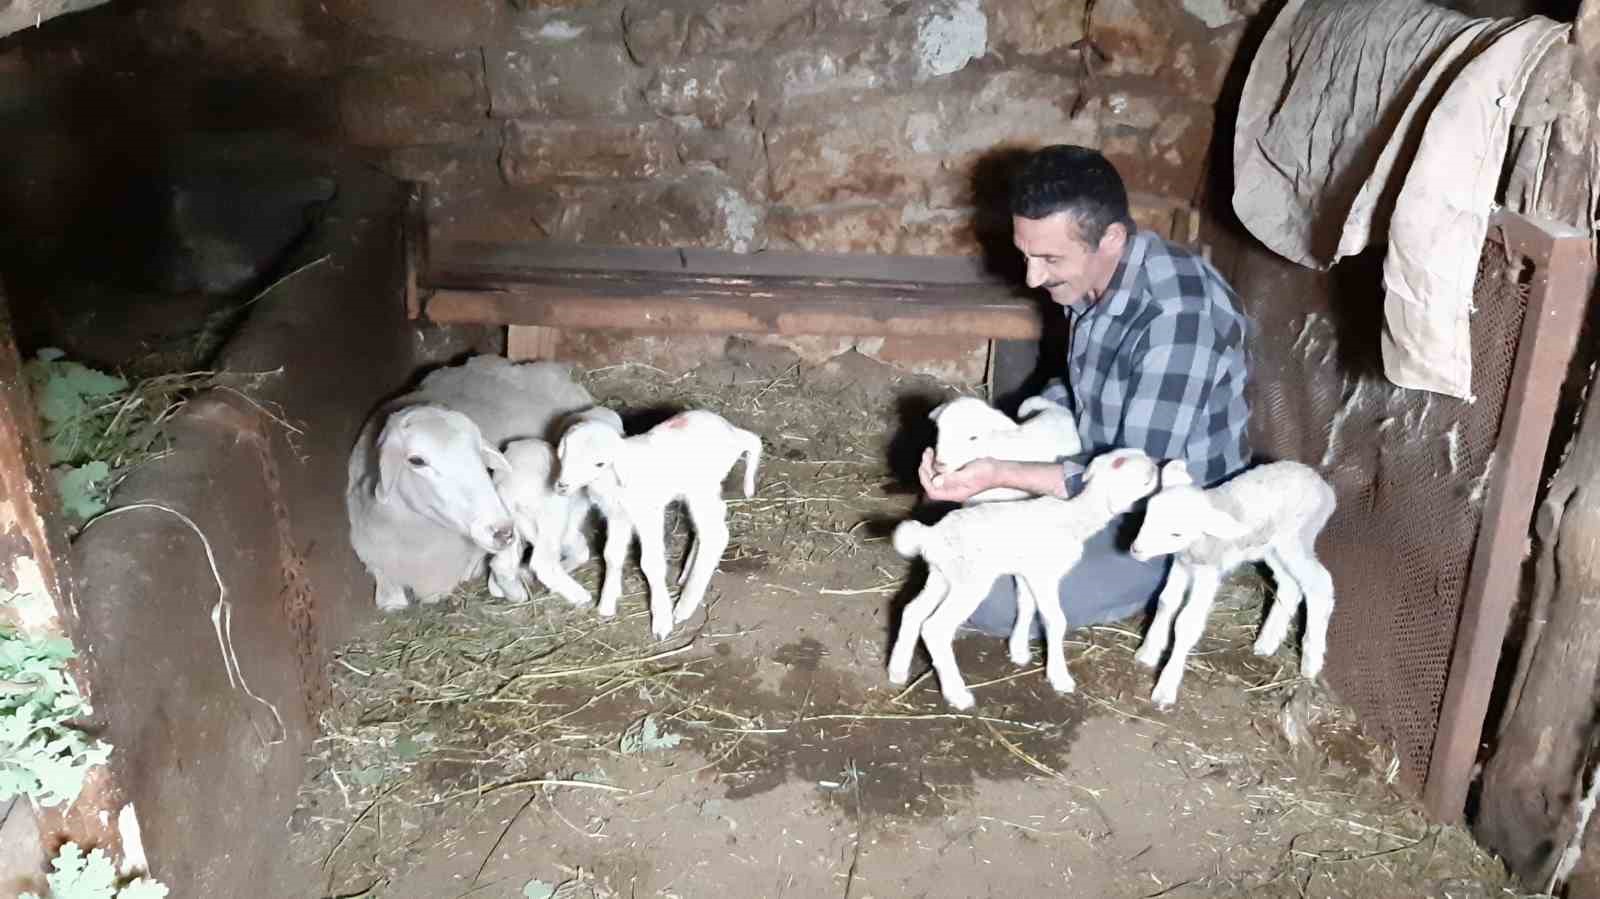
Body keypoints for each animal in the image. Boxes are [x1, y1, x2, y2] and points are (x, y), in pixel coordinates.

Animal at [556, 406, 761, 636]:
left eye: (599, 463)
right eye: (565, 453)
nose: (561, 486)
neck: (613, 479)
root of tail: (732, 432)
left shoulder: (648, 514)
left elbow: (651, 563)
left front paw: (662, 620)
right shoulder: (617, 515)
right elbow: (611, 555)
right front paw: (606, 604)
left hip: (701, 488)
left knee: (717, 535)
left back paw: (684, 606)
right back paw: (686, 575)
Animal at [889, 444, 1164, 707]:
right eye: (1148, 478)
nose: (1163, 468)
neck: (1076, 517)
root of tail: (929, 535)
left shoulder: (1027, 572)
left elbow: (1026, 605)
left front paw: (1018, 650)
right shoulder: (1045, 575)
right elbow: (1055, 619)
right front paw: (1059, 677)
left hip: (942, 576)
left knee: (912, 610)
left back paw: (897, 670)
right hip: (970, 583)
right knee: (935, 628)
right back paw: (957, 695)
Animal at [1132, 457, 1344, 703]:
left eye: (1176, 533)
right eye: (1148, 514)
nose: (1136, 549)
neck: (1195, 547)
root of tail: (1325, 487)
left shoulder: (1208, 571)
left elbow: (1187, 622)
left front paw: (1165, 688)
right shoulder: (1181, 564)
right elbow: (1166, 602)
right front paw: (1147, 652)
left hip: (1295, 538)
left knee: (1320, 582)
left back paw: (1311, 662)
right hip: (1271, 547)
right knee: (1290, 585)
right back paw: (1266, 642)